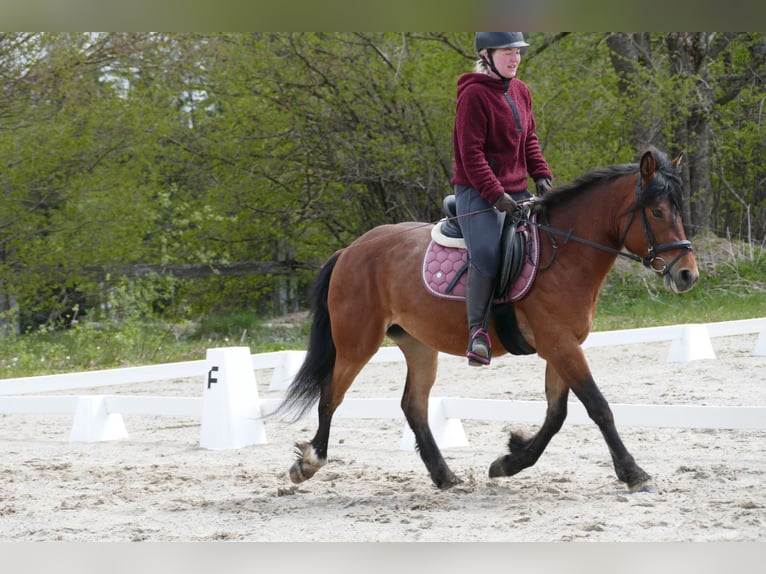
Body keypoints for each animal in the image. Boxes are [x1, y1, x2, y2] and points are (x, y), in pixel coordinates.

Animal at [278, 147, 704, 496]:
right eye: (657, 212)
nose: (687, 275)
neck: (564, 252)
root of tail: (351, 249)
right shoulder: (560, 343)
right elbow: (598, 407)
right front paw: (634, 474)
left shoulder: (562, 345)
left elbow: (557, 414)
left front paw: (509, 461)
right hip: (357, 343)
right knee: (331, 395)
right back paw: (309, 463)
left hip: (418, 345)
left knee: (413, 405)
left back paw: (445, 476)